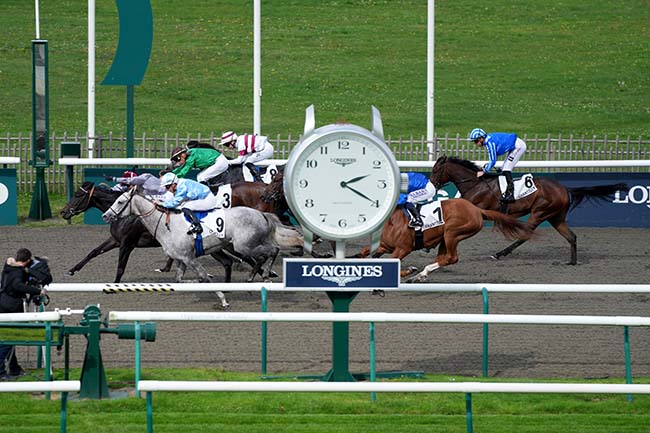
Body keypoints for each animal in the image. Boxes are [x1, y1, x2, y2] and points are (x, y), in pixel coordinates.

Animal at [102, 186, 304, 282]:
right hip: (240, 245)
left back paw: (264, 274)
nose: (106, 215)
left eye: (120, 202)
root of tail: (262, 214)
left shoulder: (187, 256)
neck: (166, 224)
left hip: (244, 245)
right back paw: (253, 276)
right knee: (262, 254)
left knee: (272, 250)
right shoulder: (183, 258)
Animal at [354, 198, 532, 282]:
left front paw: (409, 270)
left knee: (451, 258)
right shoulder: (384, 246)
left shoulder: (403, 248)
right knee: (442, 258)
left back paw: (421, 273)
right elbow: (364, 254)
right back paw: (420, 276)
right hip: (444, 239)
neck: (392, 221)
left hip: (452, 233)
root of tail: (476, 209)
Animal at [428, 155, 624, 264]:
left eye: (436, 170)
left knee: (526, 234)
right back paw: (572, 262)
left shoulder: (478, 212)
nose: (431, 186)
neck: (475, 184)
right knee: (571, 237)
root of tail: (564, 189)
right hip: (556, 217)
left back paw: (499, 254)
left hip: (540, 212)